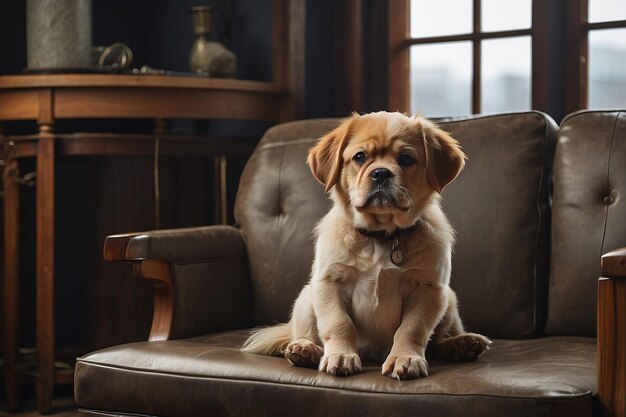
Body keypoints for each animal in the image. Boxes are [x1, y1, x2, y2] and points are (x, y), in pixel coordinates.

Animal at [241, 112, 490, 378]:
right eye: (360, 157)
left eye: (406, 159)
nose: (381, 173)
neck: (381, 237)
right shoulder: (329, 282)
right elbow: (339, 324)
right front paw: (341, 356)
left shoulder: (428, 288)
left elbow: (412, 329)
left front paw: (406, 358)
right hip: (307, 298)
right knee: (303, 333)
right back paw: (304, 350)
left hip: (449, 300)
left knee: (440, 339)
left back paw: (462, 344)